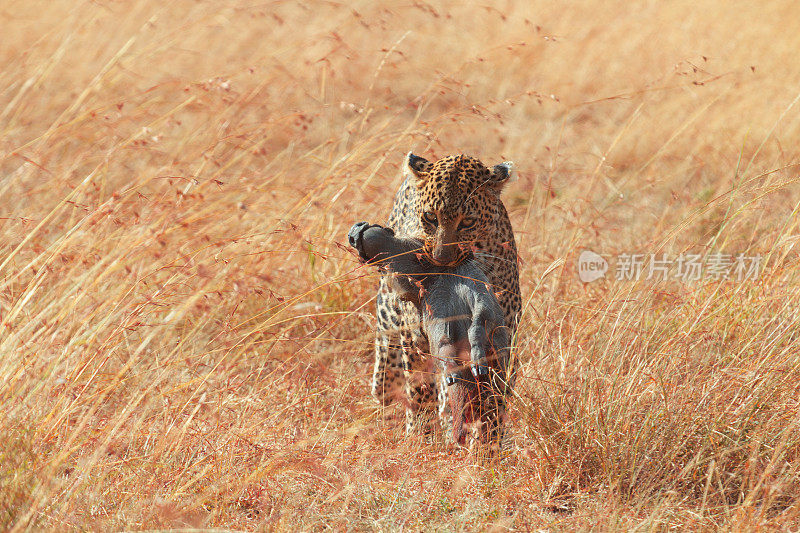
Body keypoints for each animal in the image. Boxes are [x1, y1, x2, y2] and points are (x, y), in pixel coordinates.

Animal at [372, 151, 520, 444]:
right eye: (430, 217)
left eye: (468, 222)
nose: (441, 258)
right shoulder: (417, 335)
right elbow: (419, 387)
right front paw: (420, 437)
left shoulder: (501, 331)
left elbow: (492, 396)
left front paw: (488, 443)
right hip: (390, 308)